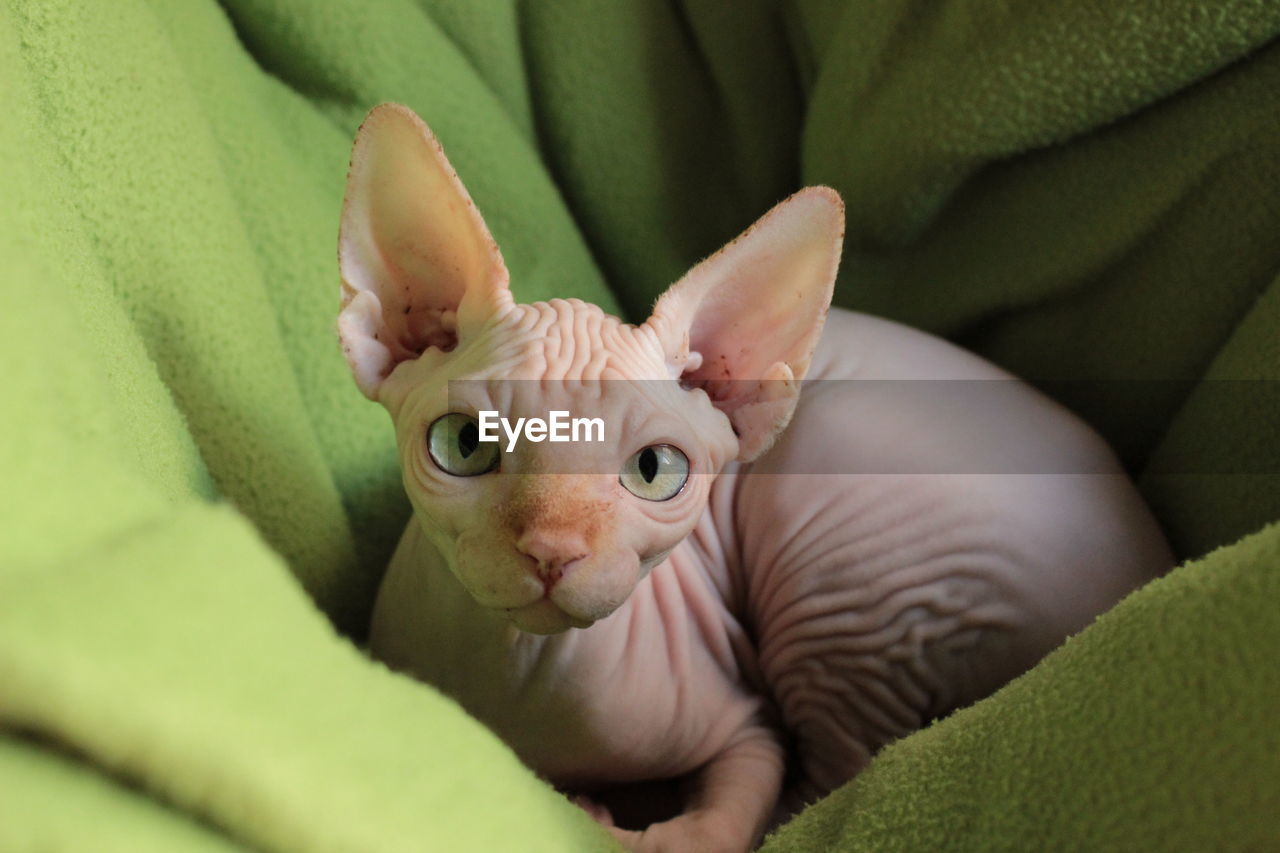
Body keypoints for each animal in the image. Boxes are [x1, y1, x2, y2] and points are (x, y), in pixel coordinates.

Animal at [337, 106, 1172, 850]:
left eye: (654, 470)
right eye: (464, 444)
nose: (551, 551)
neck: (519, 676)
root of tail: (1146, 563)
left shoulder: (746, 721)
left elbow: (711, 829)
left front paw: (596, 817)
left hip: (842, 553)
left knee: (830, 781)